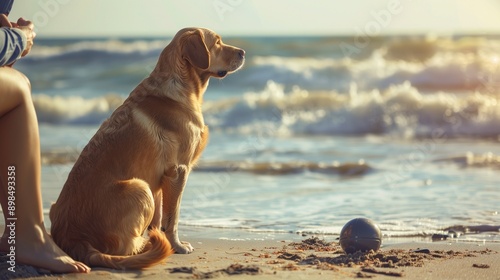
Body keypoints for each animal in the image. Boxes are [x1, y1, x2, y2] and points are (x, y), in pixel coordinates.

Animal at [49, 27, 245, 270]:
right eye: (217, 42)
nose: (243, 52)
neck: (182, 84)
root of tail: (75, 239)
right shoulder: (178, 171)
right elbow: (172, 217)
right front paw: (176, 246)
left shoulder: (161, 179)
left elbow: (159, 219)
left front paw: (163, 238)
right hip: (139, 187)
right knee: (125, 248)